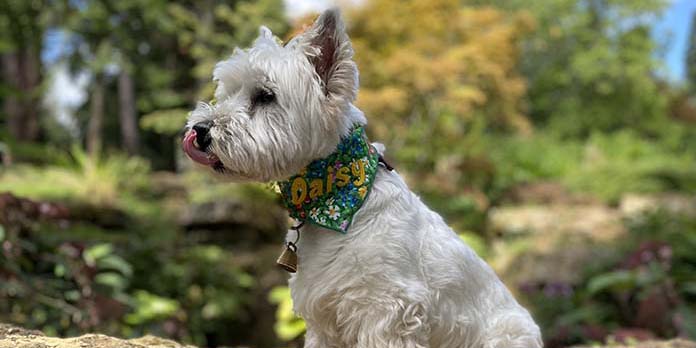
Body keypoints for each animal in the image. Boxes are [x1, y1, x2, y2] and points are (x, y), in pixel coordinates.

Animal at [182, 8, 540, 348]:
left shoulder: (388, 310)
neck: (338, 198)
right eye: (227, 92)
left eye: (266, 96)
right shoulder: (323, 318)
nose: (199, 130)